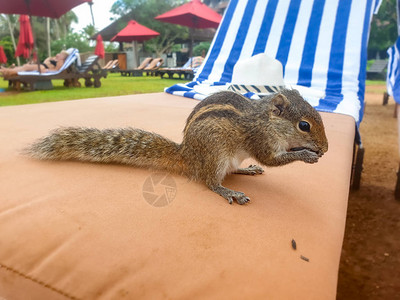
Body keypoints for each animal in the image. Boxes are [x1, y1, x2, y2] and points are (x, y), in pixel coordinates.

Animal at [26, 89, 330, 205]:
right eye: (304, 125)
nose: (325, 149)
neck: (265, 119)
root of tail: (188, 156)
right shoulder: (260, 139)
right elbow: (272, 159)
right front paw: (306, 154)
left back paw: (246, 171)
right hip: (215, 155)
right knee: (209, 181)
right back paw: (228, 191)